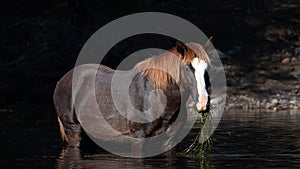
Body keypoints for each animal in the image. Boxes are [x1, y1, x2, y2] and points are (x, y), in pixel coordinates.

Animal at [52, 41, 210, 149]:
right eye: (188, 68)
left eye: (206, 69)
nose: (203, 103)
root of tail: (63, 80)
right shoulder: (138, 138)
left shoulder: (169, 141)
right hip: (72, 128)